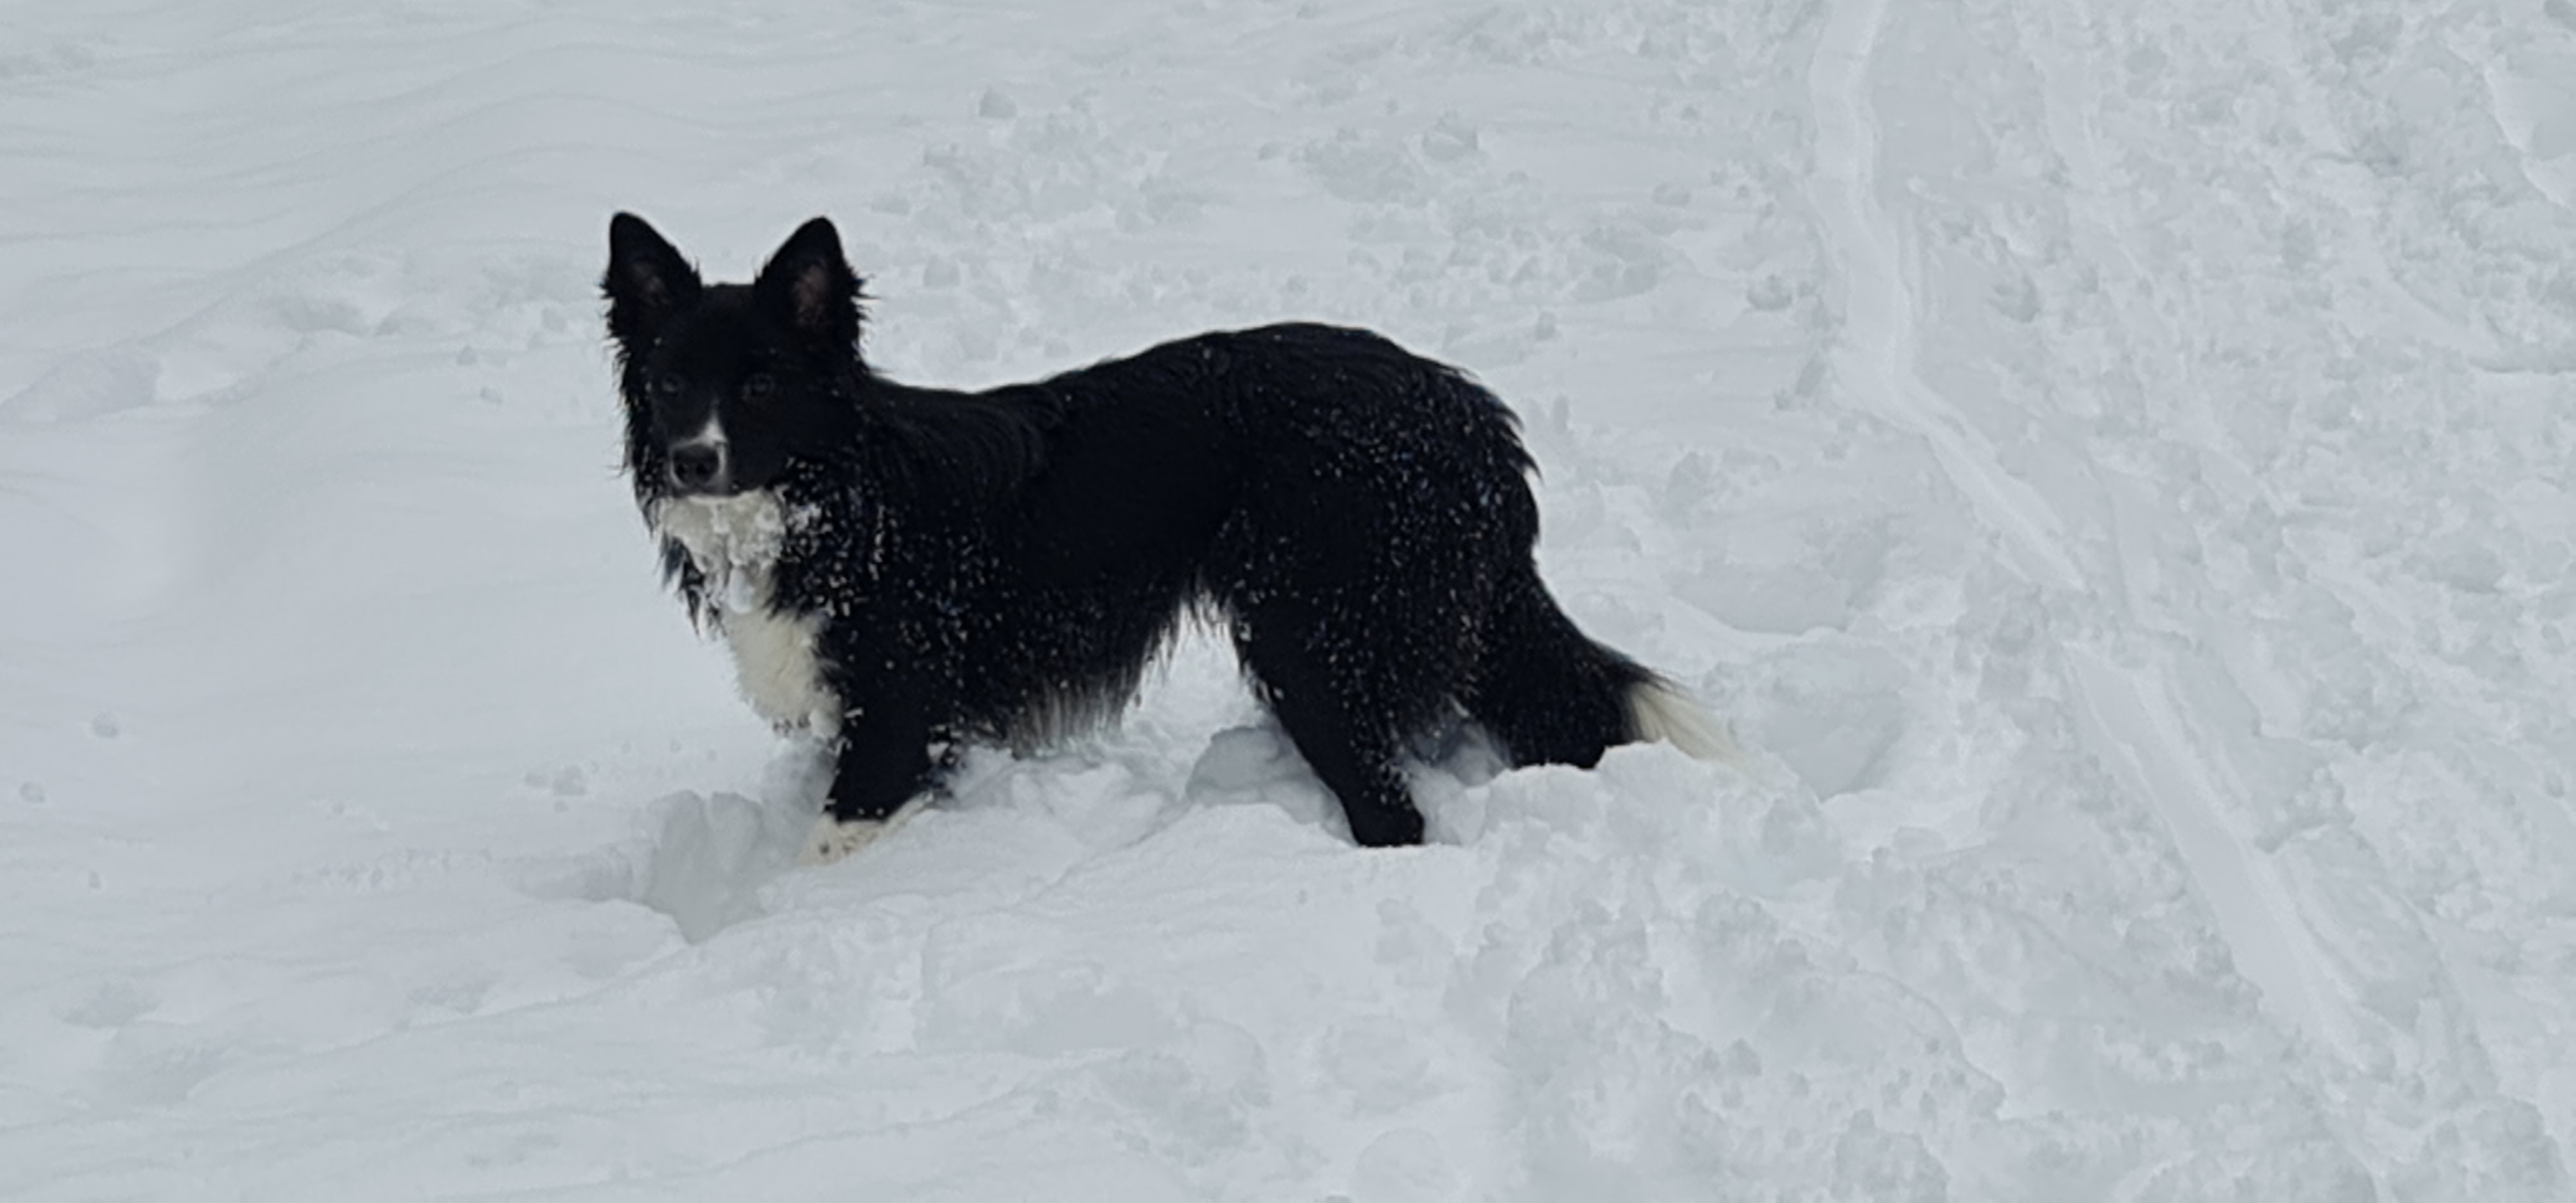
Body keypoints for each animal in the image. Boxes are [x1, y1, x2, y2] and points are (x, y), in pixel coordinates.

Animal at [602, 213, 1738, 864]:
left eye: (760, 386)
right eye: (669, 382)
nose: (691, 460)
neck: (832, 493)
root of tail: (1469, 415)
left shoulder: (899, 710)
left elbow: (833, 842)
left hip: (1310, 642)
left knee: (1393, 812)